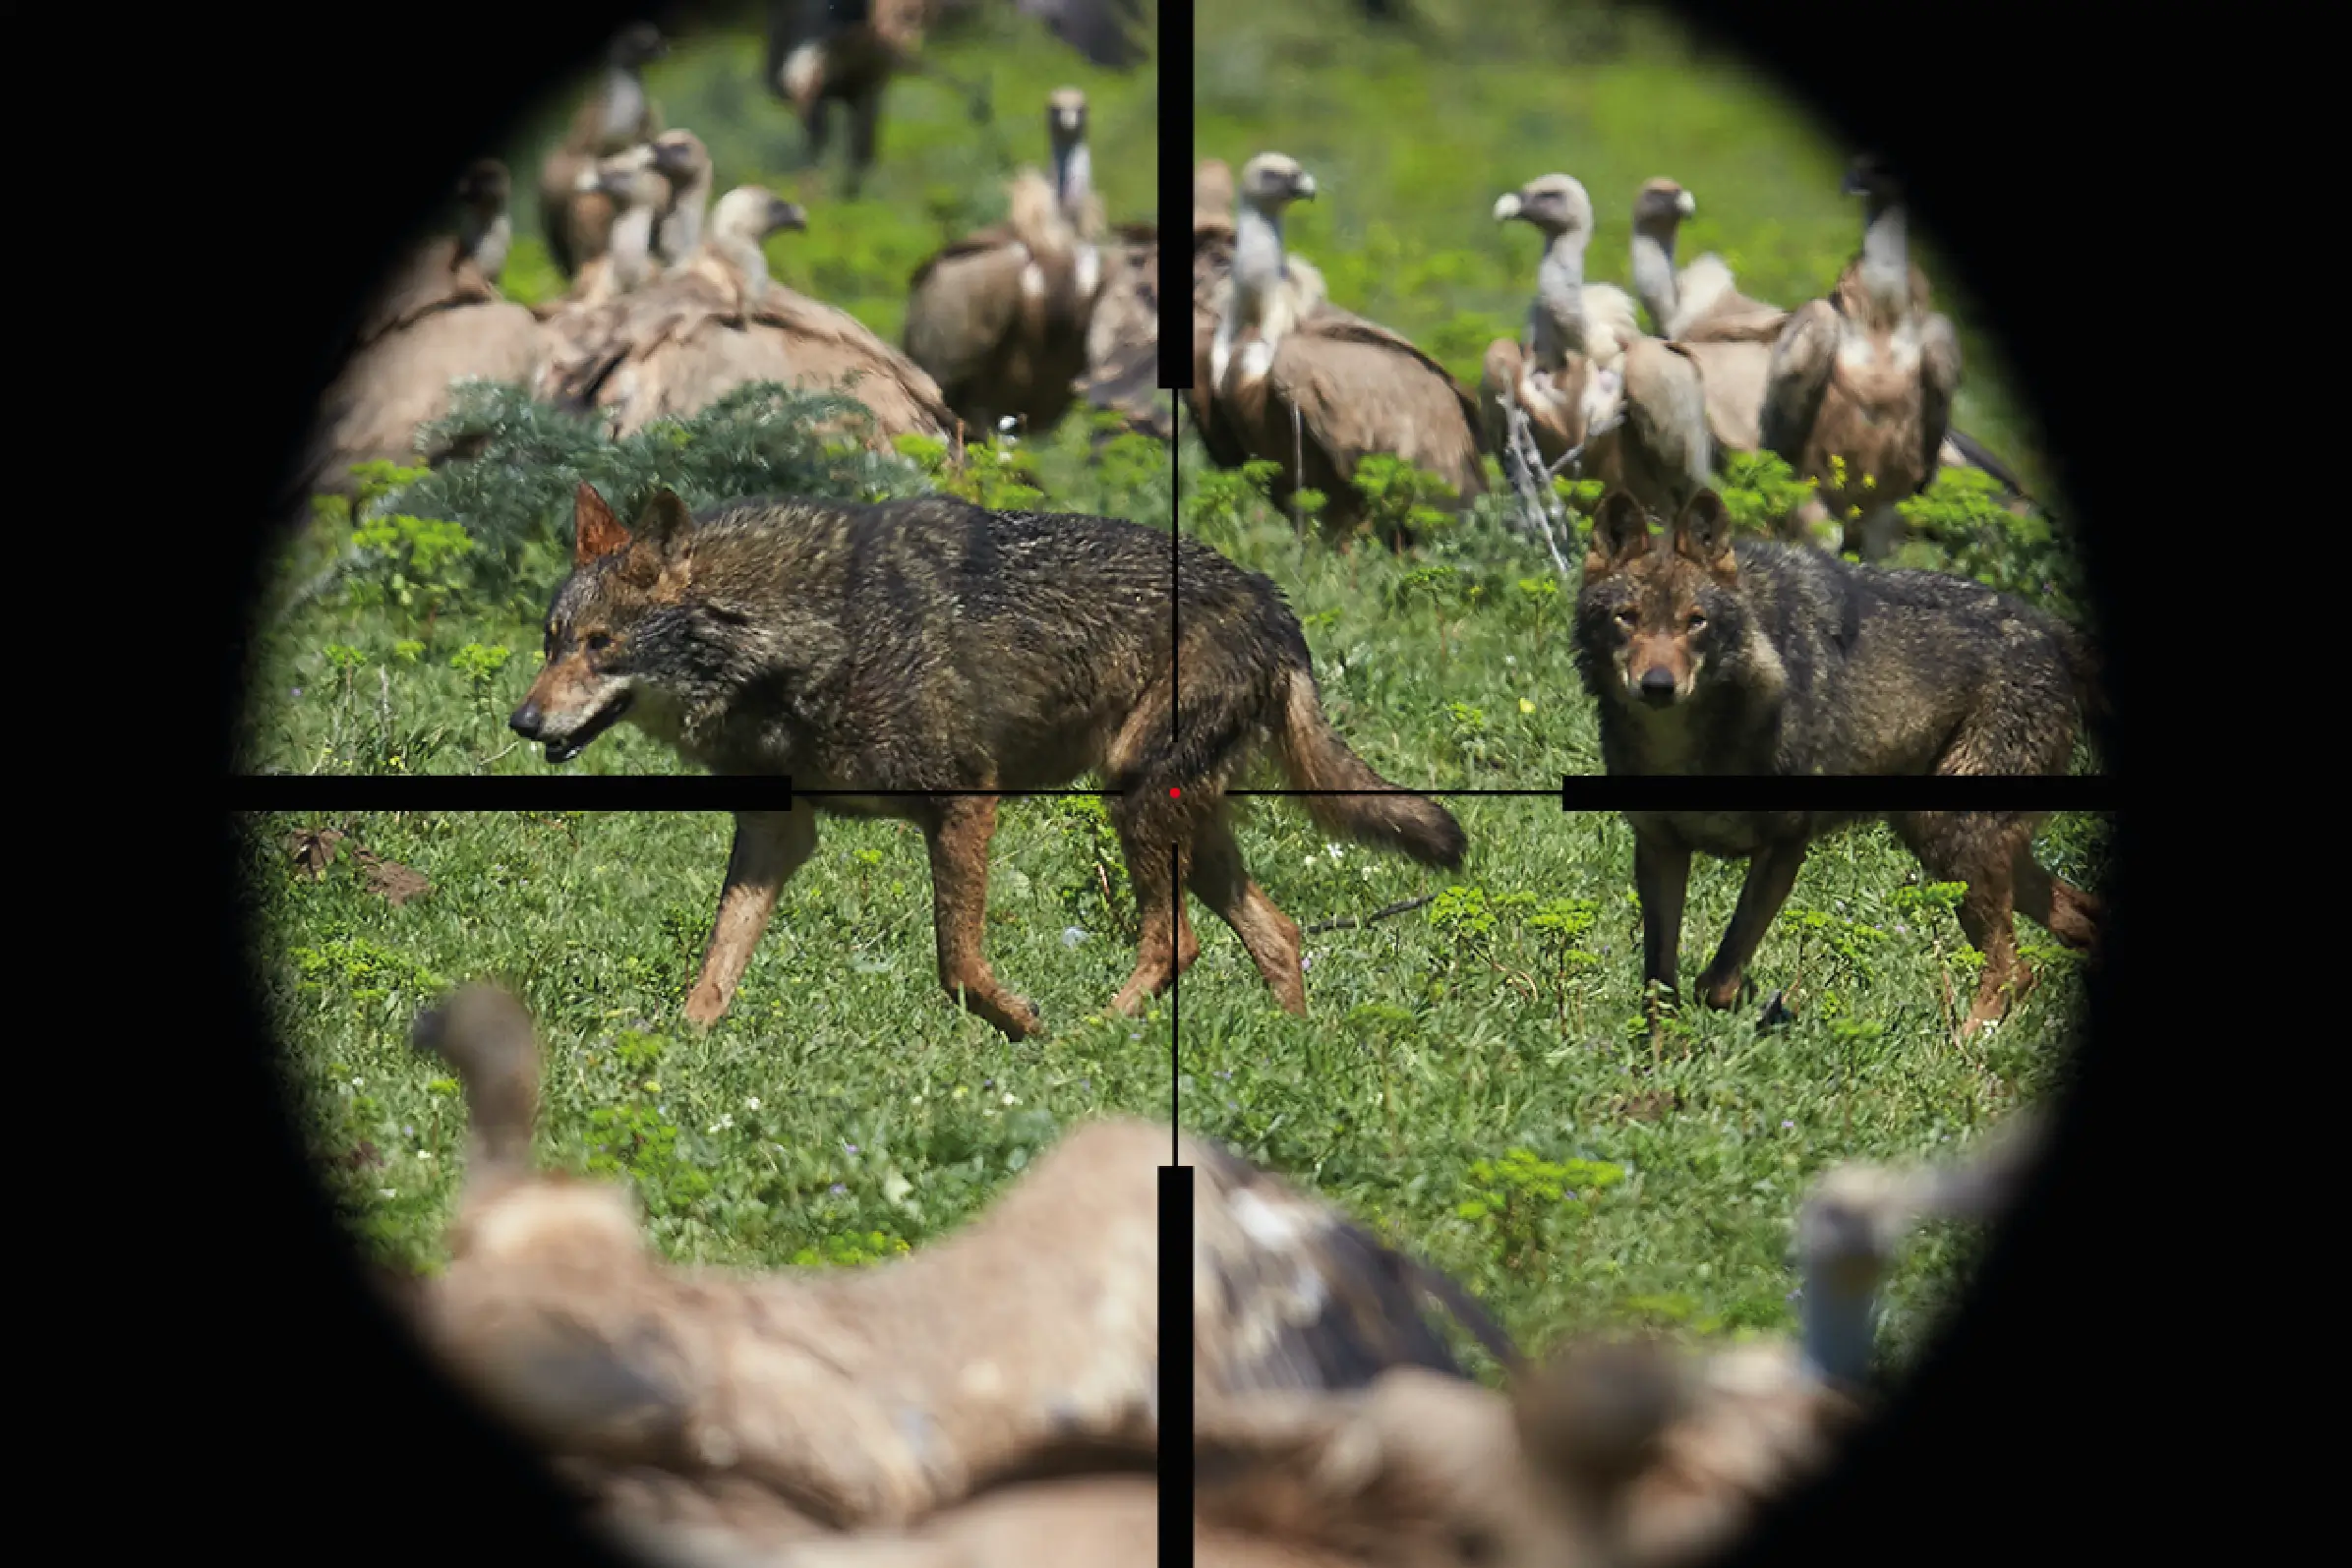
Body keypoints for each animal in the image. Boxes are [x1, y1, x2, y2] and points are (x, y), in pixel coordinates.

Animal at [509, 482, 1467, 1038]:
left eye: (600, 645)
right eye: (552, 641)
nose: (522, 720)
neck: (796, 637)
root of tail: (1276, 606)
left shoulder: (967, 798)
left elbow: (956, 964)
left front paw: (1023, 1025)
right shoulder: (779, 832)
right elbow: (714, 968)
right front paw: (679, 1052)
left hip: (1137, 801)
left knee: (1180, 943)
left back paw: (1090, 1037)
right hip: (1181, 823)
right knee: (1276, 934)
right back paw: (1292, 1054)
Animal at [1570, 487, 2105, 1036]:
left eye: (1696, 621)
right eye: (1627, 618)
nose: (1658, 686)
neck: (1684, 750)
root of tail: (2046, 626)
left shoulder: (1785, 845)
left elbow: (1717, 980)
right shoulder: (1661, 849)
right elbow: (1659, 987)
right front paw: (1661, 1052)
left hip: (1952, 842)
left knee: (2013, 969)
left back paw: (1962, 1043)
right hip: (1950, 847)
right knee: (2078, 919)